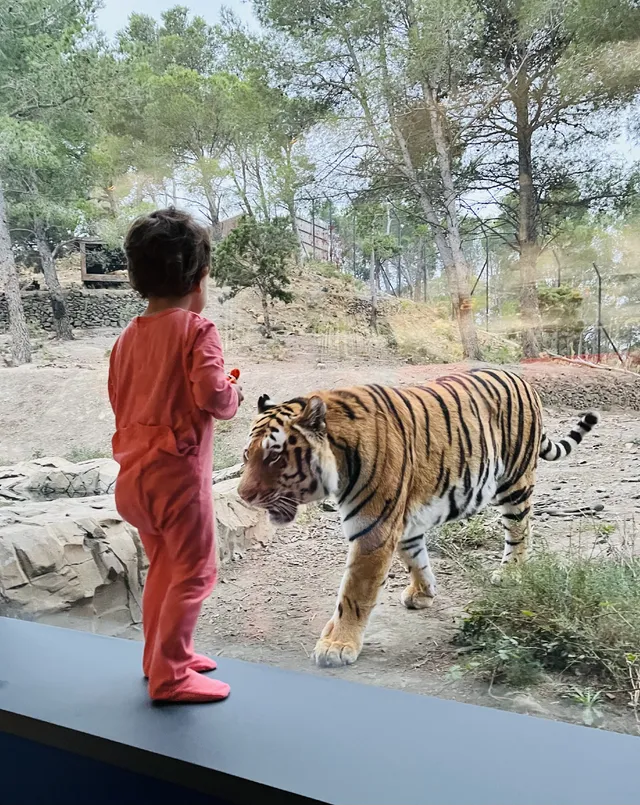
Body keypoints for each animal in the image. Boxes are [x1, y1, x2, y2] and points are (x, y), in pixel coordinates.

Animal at [236, 370, 600, 664]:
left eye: (275, 456)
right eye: (246, 454)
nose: (242, 495)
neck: (338, 458)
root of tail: (521, 379)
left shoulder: (373, 528)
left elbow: (354, 593)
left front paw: (337, 645)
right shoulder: (400, 521)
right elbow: (415, 558)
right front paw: (423, 593)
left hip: (514, 482)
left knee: (521, 528)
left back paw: (510, 571)